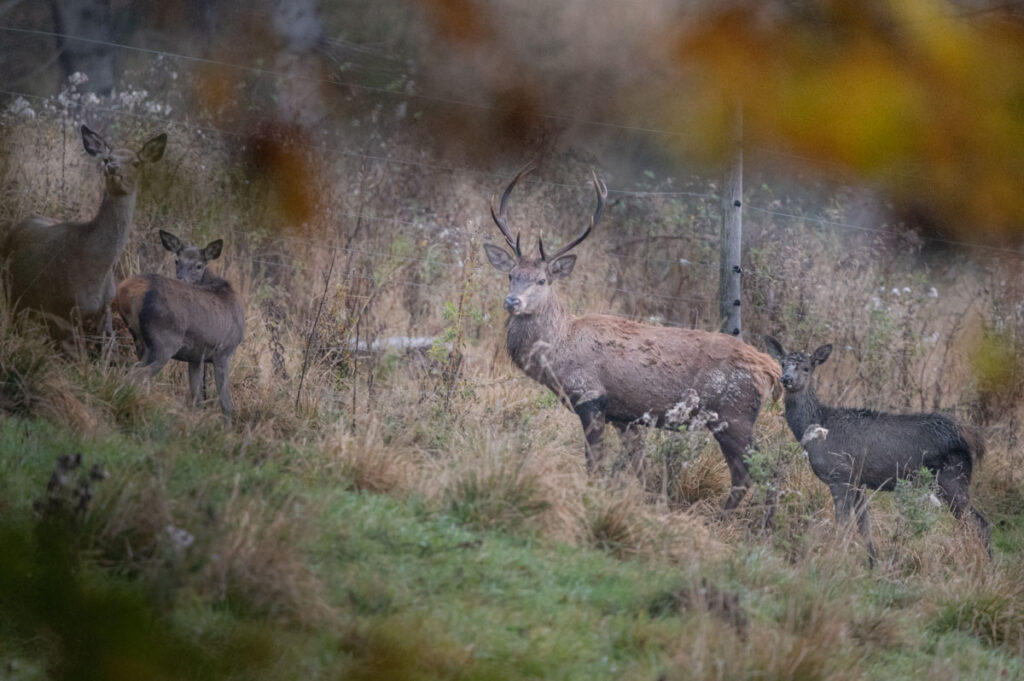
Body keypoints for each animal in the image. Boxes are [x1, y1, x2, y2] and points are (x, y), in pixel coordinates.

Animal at [2, 124, 165, 342]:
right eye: (106, 158)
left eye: (136, 162)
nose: (112, 167)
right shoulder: (67, 308)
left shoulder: (106, 308)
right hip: (10, 288)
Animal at [115, 231, 244, 417]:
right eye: (177, 260)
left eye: (199, 265)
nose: (181, 278)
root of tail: (126, 290)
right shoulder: (224, 352)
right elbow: (226, 404)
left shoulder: (196, 357)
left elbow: (197, 398)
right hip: (165, 341)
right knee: (136, 373)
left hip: (141, 341)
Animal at [483, 166, 778, 512]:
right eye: (511, 275)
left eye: (542, 280)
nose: (512, 301)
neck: (558, 354)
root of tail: (771, 370)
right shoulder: (625, 417)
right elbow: (642, 471)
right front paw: (653, 506)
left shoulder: (591, 398)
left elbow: (594, 464)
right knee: (748, 473)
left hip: (735, 414)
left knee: (761, 471)